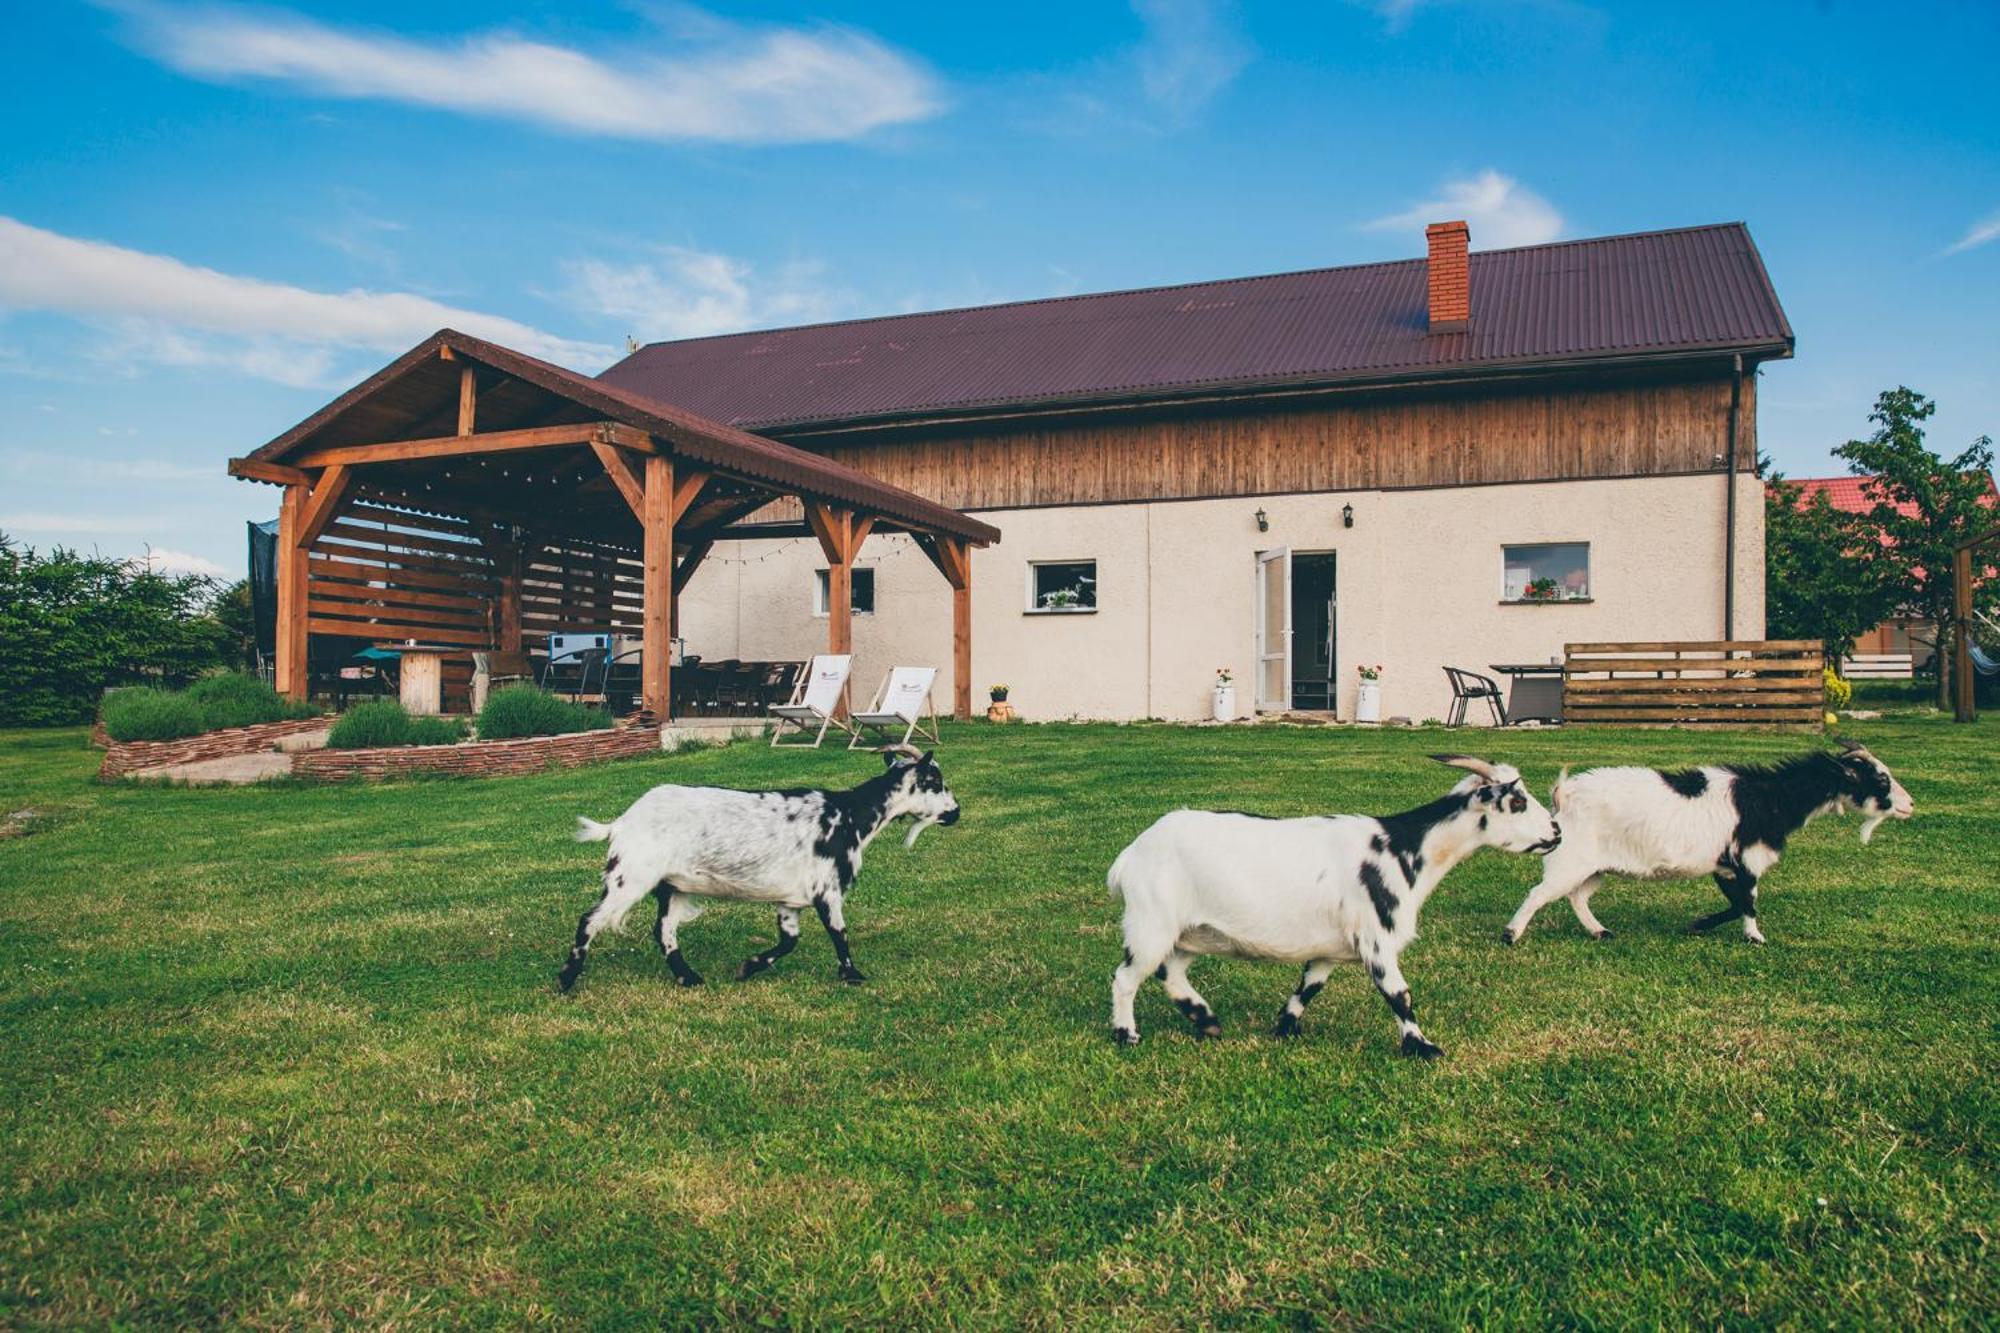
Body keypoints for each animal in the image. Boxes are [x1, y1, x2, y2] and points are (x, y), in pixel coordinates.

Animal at [560, 740, 964, 992]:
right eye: (935, 781)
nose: (956, 812)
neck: (849, 815)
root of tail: (622, 822)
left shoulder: (790, 901)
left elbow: (789, 940)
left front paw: (748, 966)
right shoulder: (827, 889)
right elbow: (839, 933)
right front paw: (852, 975)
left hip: (672, 886)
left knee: (664, 931)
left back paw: (689, 978)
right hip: (631, 876)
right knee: (590, 920)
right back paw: (566, 979)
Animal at [1112, 752, 1560, 1056]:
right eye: (1517, 802)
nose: (1556, 831)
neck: (1404, 849)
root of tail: (1131, 855)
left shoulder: (1331, 947)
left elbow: (1310, 987)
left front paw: (1285, 1027)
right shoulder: (1375, 938)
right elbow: (1399, 993)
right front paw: (1421, 1047)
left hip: (1190, 931)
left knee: (1169, 971)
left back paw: (1204, 1019)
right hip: (1152, 922)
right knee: (1126, 977)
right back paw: (1126, 1034)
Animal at [1504, 736, 1912, 944]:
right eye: (1880, 779)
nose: (1910, 805)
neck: (1771, 798)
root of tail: (1564, 794)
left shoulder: (1725, 867)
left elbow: (1736, 904)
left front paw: (1696, 925)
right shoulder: (1746, 861)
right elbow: (1748, 904)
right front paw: (1755, 937)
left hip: (1594, 866)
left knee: (1577, 897)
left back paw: (1599, 930)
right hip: (1571, 860)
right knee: (1540, 893)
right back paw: (1511, 934)